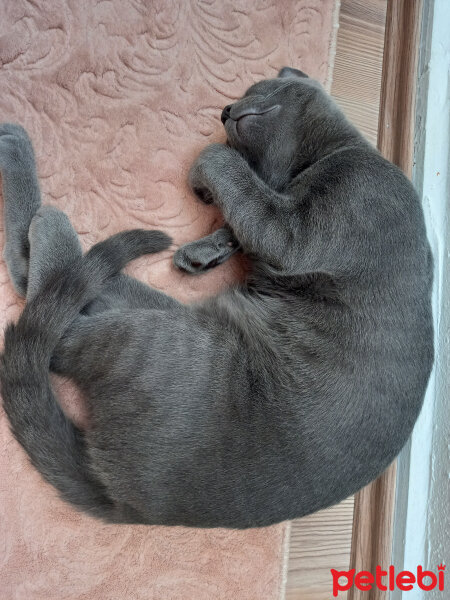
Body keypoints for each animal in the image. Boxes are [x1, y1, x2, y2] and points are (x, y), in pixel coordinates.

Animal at [0, 68, 434, 528]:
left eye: (251, 90)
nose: (225, 110)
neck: (330, 154)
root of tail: (130, 504)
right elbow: (244, 205)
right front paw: (208, 247)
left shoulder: (303, 228)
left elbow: (229, 172)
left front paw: (207, 181)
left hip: (161, 340)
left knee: (49, 310)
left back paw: (36, 190)